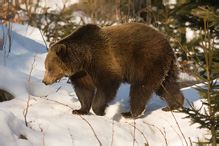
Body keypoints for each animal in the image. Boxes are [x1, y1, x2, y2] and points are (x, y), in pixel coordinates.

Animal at [42, 23, 184, 118]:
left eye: (50, 68)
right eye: (46, 67)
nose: (44, 81)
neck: (84, 58)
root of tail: (168, 44)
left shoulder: (101, 58)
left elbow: (108, 83)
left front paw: (100, 110)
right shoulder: (82, 72)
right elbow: (84, 90)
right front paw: (79, 110)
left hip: (147, 61)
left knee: (141, 88)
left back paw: (130, 113)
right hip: (166, 67)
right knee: (167, 86)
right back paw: (174, 104)